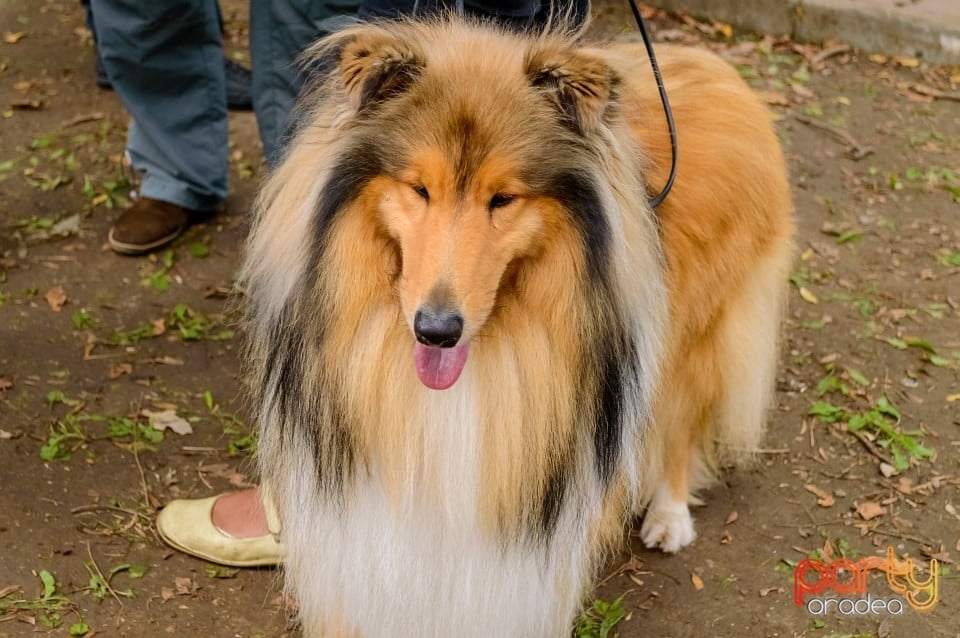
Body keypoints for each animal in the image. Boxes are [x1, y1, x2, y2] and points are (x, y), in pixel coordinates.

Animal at [246, 16, 796, 638]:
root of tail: (718, 65)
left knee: (681, 420)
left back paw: (670, 514)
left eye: (503, 198)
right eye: (419, 189)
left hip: (692, 335)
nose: (436, 331)